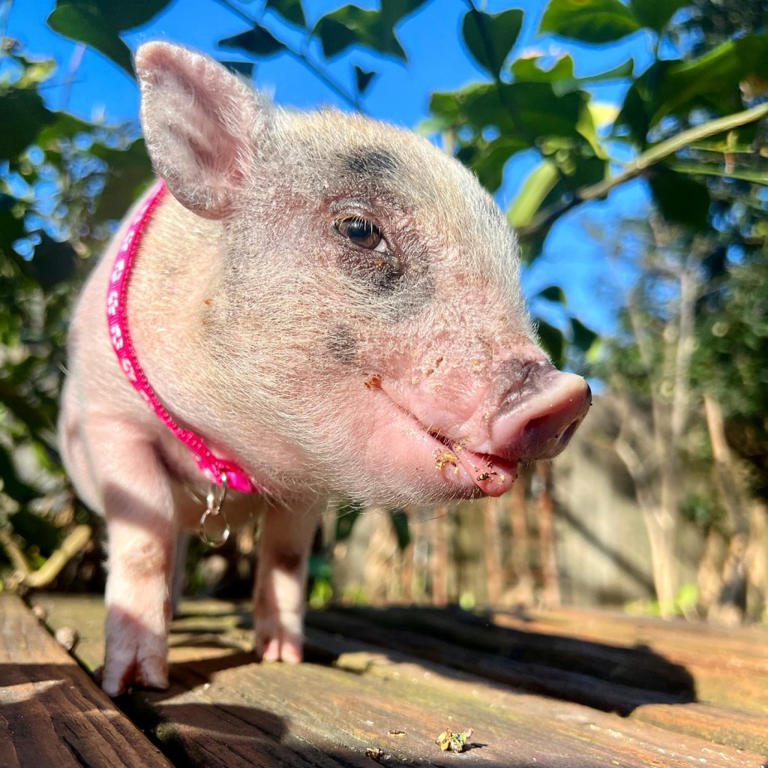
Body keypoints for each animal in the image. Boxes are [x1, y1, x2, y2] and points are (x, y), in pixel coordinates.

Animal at [58, 41, 591, 696]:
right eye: (359, 229)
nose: (567, 394)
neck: (233, 448)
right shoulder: (110, 420)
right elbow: (144, 541)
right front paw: (135, 684)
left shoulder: (309, 483)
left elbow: (286, 556)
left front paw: (283, 658)